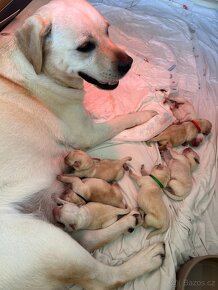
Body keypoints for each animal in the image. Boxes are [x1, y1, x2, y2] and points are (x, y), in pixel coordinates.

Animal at [0, 0, 164, 290]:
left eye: (108, 30)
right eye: (86, 46)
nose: (129, 63)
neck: (37, 71)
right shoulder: (87, 132)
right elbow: (121, 119)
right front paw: (144, 115)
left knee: (87, 238)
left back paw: (127, 221)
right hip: (46, 243)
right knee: (103, 278)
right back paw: (145, 259)